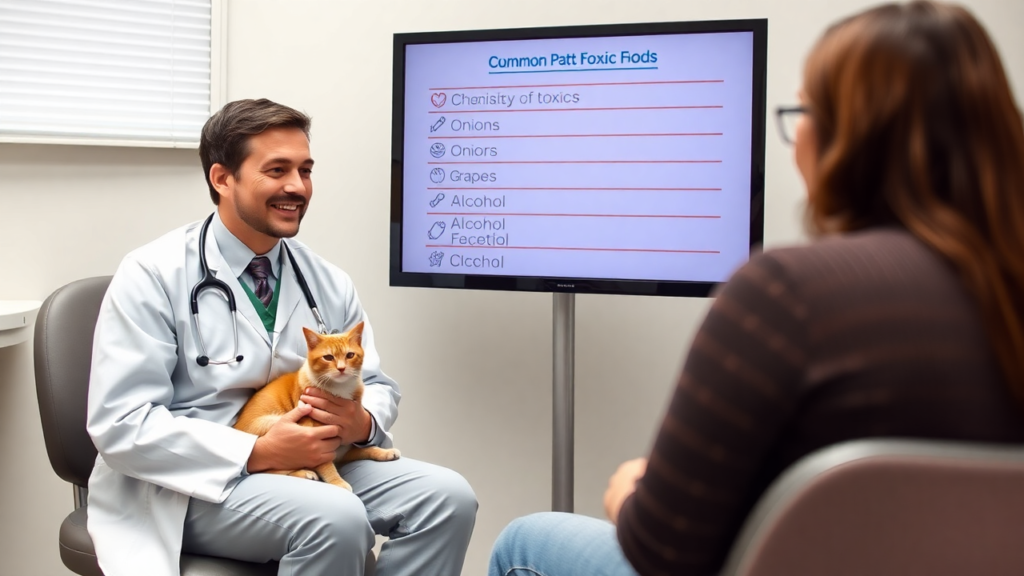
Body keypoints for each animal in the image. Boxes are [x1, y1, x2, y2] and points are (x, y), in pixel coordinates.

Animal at [234, 317, 397, 487]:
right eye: (328, 357)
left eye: (350, 355)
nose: (341, 368)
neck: (339, 389)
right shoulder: (318, 446)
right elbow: (326, 466)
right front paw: (338, 483)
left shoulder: (343, 451)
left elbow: (364, 449)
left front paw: (384, 452)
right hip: (272, 423)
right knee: (268, 470)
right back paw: (304, 473)